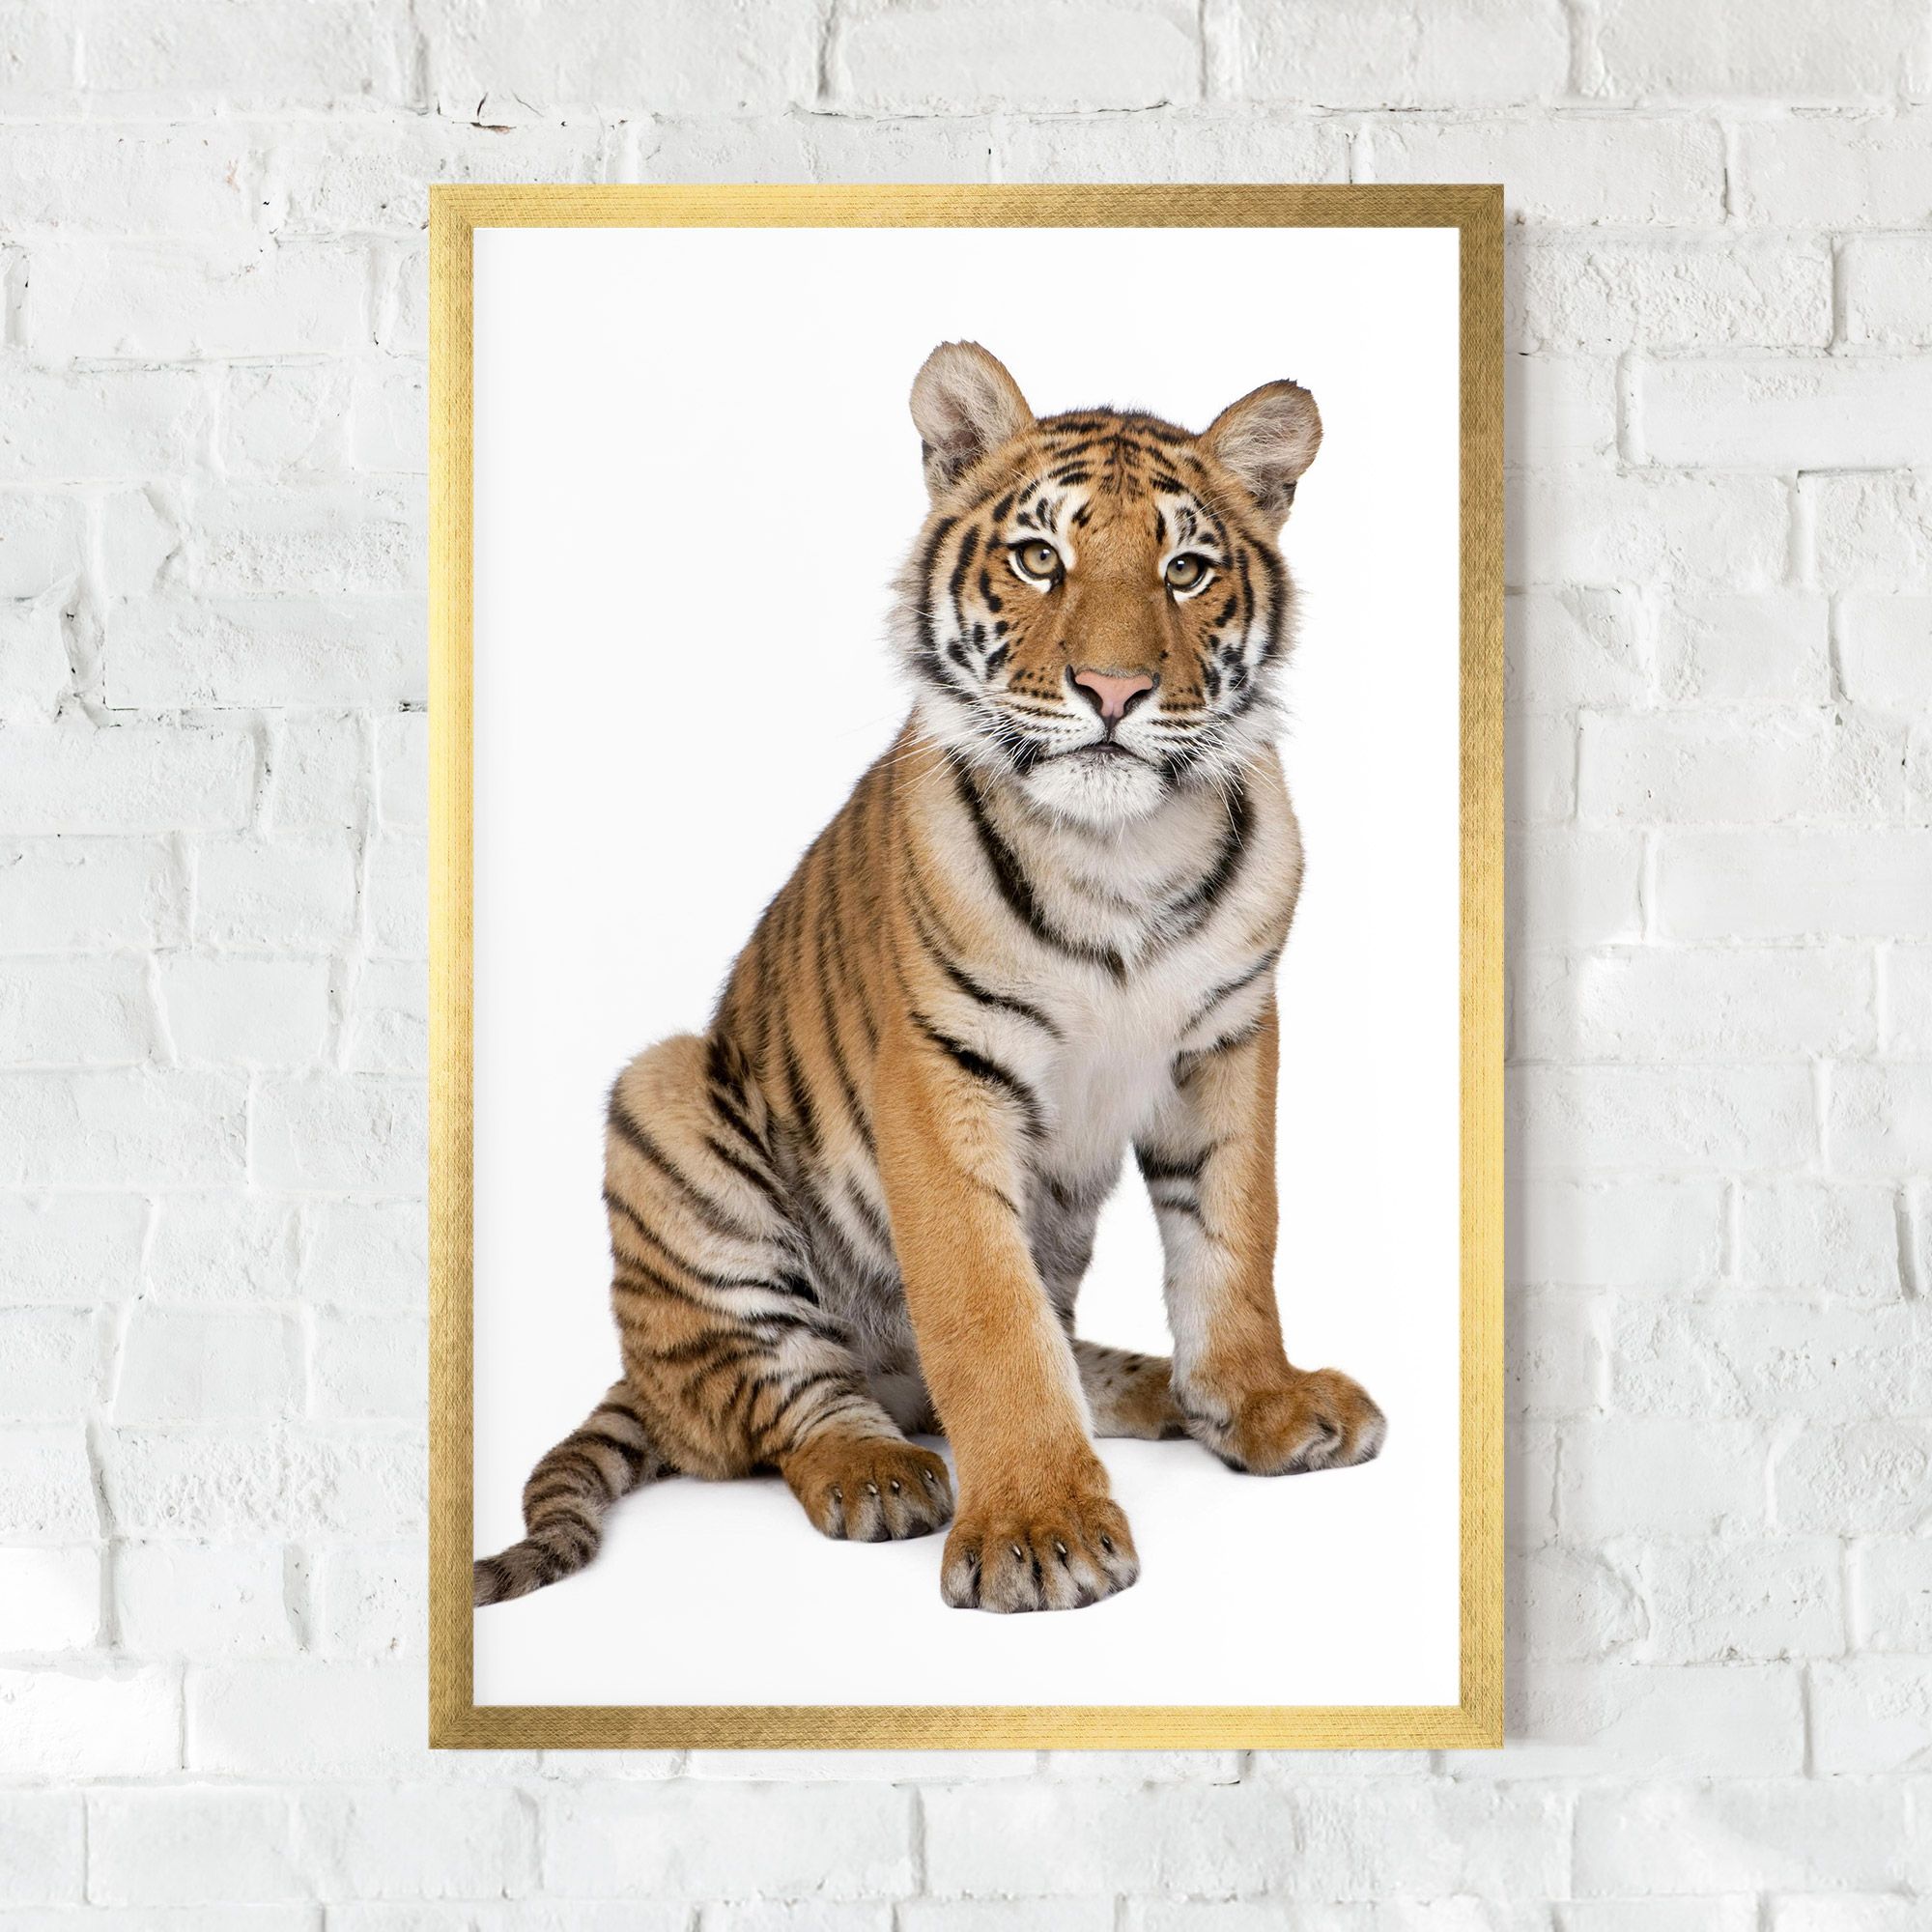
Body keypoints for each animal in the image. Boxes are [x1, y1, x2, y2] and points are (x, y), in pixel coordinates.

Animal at [474, 341, 1386, 1616]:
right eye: (1040, 556)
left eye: (1187, 569)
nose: (1113, 689)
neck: (1118, 850)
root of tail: (640, 1381)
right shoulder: (939, 1067)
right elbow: (986, 1315)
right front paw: (1040, 1529)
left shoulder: (1226, 1038)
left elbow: (1231, 1239)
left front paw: (1258, 1402)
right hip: (665, 1103)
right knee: (782, 1401)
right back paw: (879, 1470)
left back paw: (1148, 1389)